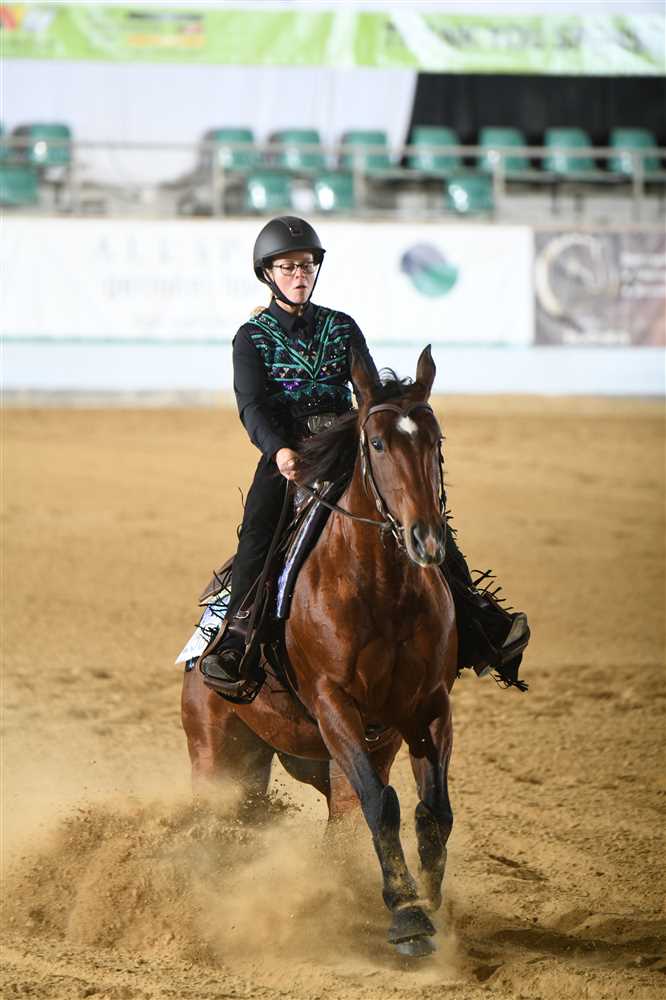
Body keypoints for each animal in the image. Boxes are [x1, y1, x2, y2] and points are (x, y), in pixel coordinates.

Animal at [181, 345, 457, 957]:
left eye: (435, 440)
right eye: (375, 443)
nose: (426, 539)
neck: (381, 592)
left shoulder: (429, 706)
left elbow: (433, 812)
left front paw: (430, 903)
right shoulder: (334, 706)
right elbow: (384, 805)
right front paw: (408, 918)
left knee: (340, 818)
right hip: (216, 754)